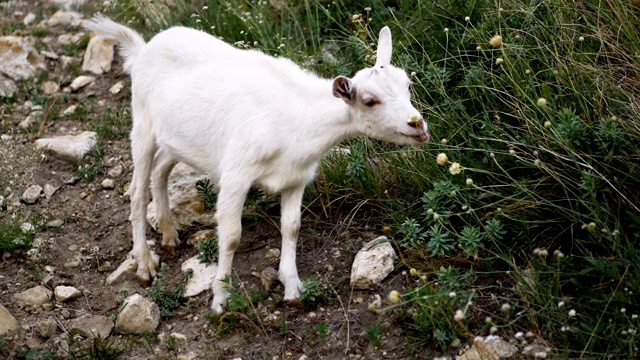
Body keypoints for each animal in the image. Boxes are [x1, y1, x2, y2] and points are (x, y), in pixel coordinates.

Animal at [84, 15, 424, 312]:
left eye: (407, 85)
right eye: (369, 101)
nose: (418, 124)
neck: (297, 120)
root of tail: (142, 49)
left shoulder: (296, 178)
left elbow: (292, 227)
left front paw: (293, 288)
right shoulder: (236, 175)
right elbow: (231, 236)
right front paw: (221, 299)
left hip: (179, 139)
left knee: (160, 170)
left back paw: (168, 235)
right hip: (142, 124)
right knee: (138, 191)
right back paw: (144, 263)